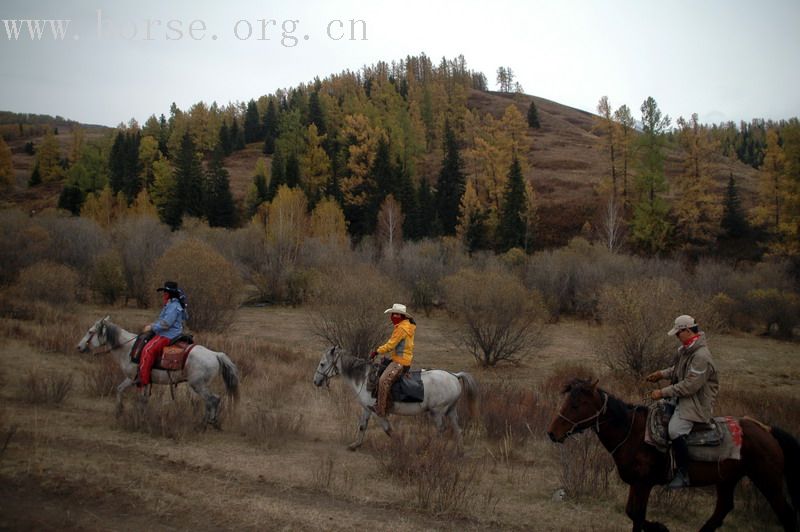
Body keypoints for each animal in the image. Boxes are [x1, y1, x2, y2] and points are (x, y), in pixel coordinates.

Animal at [77, 316, 241, 428]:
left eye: (90, 331)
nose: (79, 347)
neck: (128, 348)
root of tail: (216, 354)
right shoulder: (137, 380)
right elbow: (123, 390)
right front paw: (121, 411)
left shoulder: (134, 378)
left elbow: (134, 396)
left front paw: (134, 415)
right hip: (200, 385)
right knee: (211, 400)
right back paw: (209, 421)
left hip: (198, 385)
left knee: (213, 399)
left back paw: (206, 422)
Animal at [312, 348, 478, 450]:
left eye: (322, 364)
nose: (316, 381)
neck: (365, 378)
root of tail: (454, 375)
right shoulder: (367, 409)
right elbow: (362, 426)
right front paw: (355, 445)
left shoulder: (377, 411)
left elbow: (388, 430)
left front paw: (401, 445)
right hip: (451, 410)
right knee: (458, 430)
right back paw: (459, 453)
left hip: (437, 412)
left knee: (441, 430)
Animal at [548, 378, 796, 532]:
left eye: (576, 404)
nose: (552, 433)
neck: (634, 433)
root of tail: (767, 430)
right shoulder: (636, 484)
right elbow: (633, 513)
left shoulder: (644, 484)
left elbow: (637, 515)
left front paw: (661, 527)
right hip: (727, 480)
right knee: (722, 509)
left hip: (768, 481)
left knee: (786, 514)